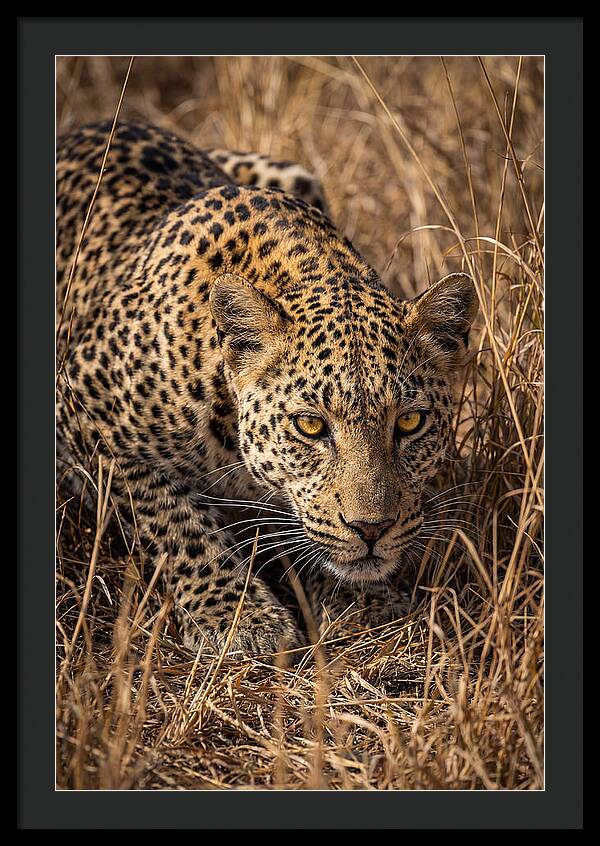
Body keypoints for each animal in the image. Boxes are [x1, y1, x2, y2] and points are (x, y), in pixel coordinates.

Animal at [56, 120, 477, 659]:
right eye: (310, 426)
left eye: (409, 422)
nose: (372, 529)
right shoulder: (82, 407)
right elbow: (173, 521)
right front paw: (238, 618)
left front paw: (363, 602)